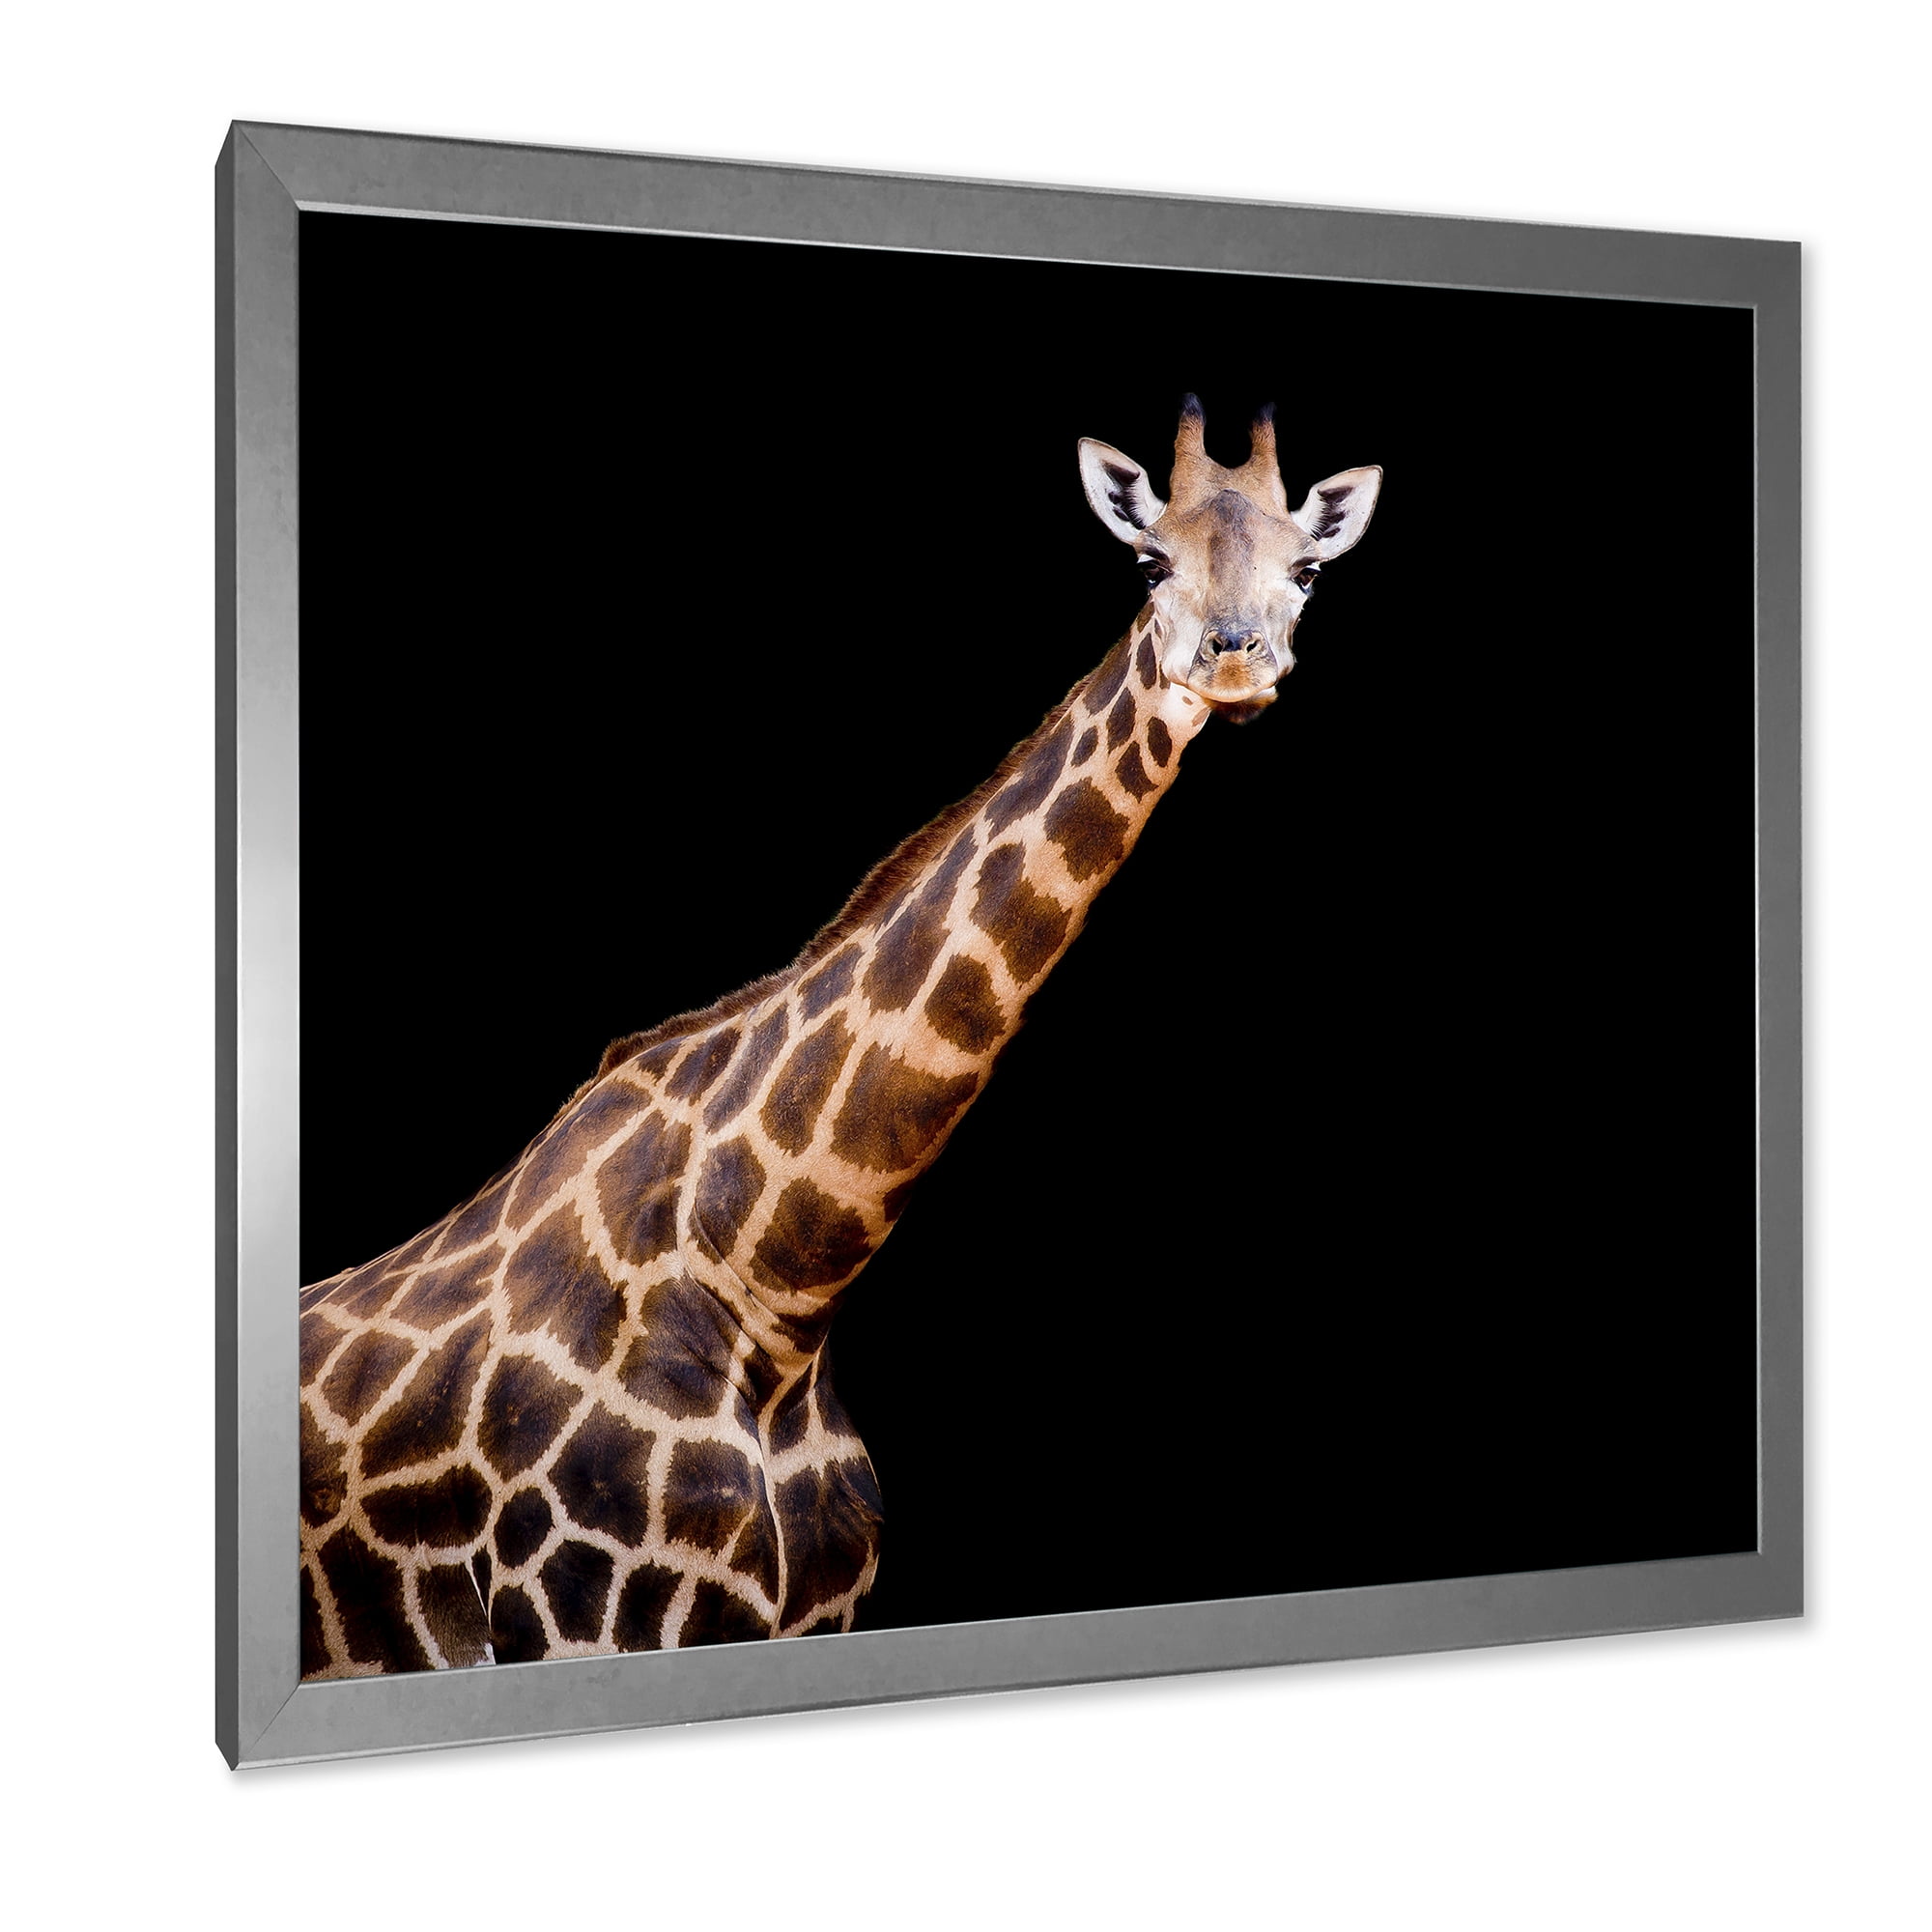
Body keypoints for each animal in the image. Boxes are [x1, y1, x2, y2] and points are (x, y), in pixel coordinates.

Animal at [297, 397, 1382, 1678]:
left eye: (1305, 568)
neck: (772, 1287)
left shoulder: (815, 1610)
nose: (1233, 658)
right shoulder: (575, 1620)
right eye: (1146, 560)